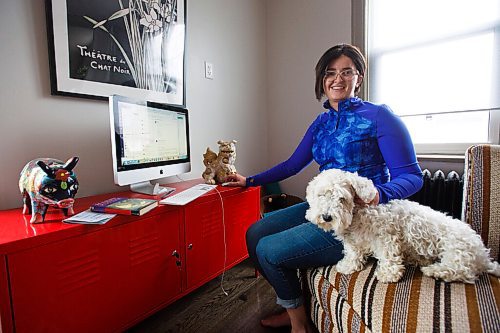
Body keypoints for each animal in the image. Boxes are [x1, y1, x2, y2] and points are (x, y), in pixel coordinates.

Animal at [304, 169, 500, 282]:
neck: (357, 215)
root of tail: (483, 256)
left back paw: (434, 270)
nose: (327, 217)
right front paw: (348, 266)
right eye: (321, 195)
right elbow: (353, 254)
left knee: (461, 271)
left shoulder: (386, 237)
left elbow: (388, 256)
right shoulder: (354, 242)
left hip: (455, 250)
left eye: (342, 198)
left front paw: (388, 274)